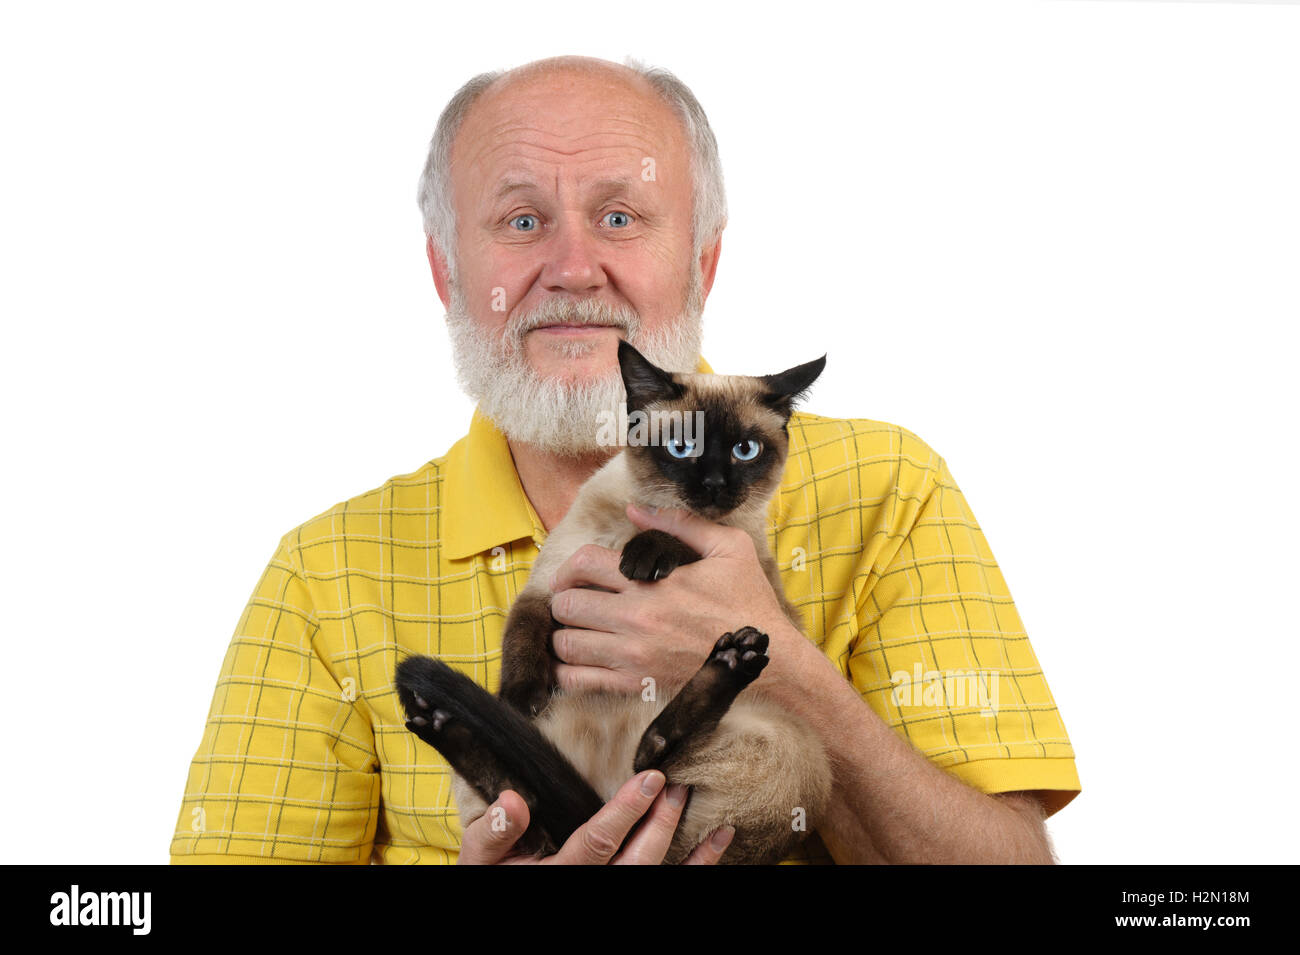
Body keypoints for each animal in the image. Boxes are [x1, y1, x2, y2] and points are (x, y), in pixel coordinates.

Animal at [390, 343, 832, 867]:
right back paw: (439, 722)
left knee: (650, 765)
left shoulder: (750, 572)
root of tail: (605, 800)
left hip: (792, 744)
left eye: (746, 451)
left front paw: (643, 557)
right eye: (681, 448)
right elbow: (521, 638)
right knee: (531, 813)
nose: (715, 486)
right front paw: (522, 702)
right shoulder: (549, 585)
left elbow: (682, 541)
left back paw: (732, 659)